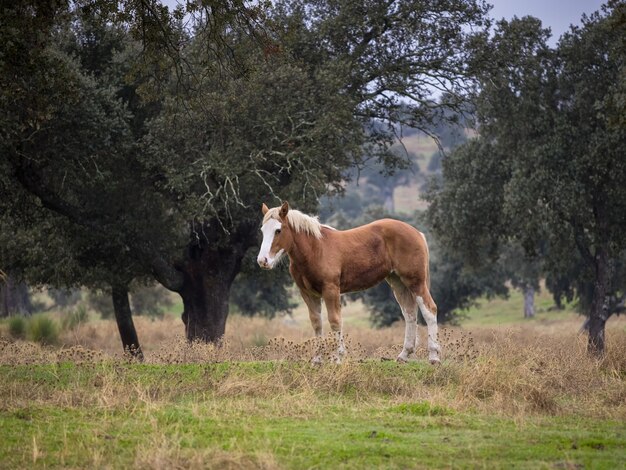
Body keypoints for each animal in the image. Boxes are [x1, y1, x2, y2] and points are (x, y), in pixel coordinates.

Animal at [254, 201, 438, 364]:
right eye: (262, 230)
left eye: (278, 230)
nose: (263, 261)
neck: (316, 249)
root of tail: (417, 233)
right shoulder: (308, 293)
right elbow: (316, 323)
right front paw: (317, 360)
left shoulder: (331, 290)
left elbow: (335, 321)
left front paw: (337, 358)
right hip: (398, 283)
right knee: (410, 314)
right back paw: (403, 355)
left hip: (416, 282)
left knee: (430, 310)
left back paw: (434, 357)